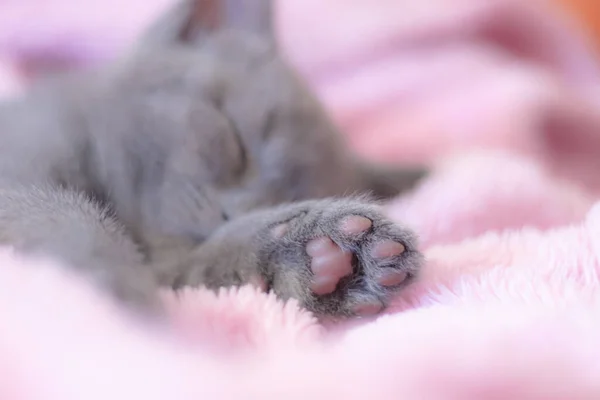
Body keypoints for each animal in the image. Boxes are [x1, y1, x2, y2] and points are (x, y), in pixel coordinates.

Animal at [0, 0, 426, 318]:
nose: (232, 211)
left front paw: (325, 254)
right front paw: (114, 297)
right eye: (235, 139)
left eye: (286, 197)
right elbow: (71, 220)